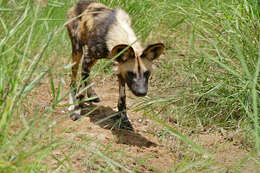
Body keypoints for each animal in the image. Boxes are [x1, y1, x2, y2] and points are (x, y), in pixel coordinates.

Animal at [66, 0, 165, 130]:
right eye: (131, 73)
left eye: (147, 73)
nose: (141, 92)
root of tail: (79, 3)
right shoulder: (88, 57)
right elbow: (81, 92)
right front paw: (77, 112)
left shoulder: (120, 70)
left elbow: (122, 100)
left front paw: (124, 120)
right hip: (78, 51)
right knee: (74, 78)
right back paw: (72, 102)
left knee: (86, 74)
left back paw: (92, 94)